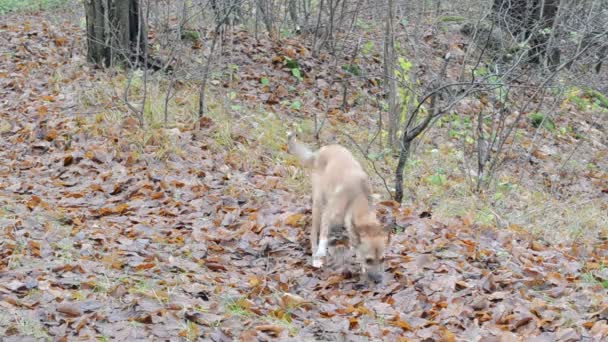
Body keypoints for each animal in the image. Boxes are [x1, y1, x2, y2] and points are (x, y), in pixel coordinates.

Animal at [286, 131, 390, 284]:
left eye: (382, 259)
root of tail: (320, 151)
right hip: (318, 204)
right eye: (369, 260)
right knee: (313, 233)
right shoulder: (328, 215)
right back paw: (315, 258)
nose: (378, 280)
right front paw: (321, 252)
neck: (357, 198)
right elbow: (323, 235)